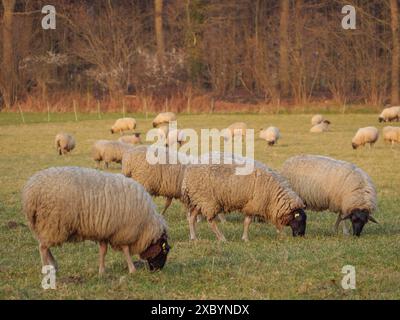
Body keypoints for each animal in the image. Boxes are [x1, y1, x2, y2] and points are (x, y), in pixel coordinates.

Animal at [21, 166, 170, 274]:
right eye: (165, 250)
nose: (158, 270)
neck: (146, 225)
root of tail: (29, 193)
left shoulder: (105, 230)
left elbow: (103, 250)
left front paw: (101, 271)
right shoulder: (124, 230)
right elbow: (126, 249)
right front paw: (132, 269)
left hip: (44, 225)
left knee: (44, 245)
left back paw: (54, 265)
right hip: (52, 223)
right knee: (42, 247)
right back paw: (46, 269)